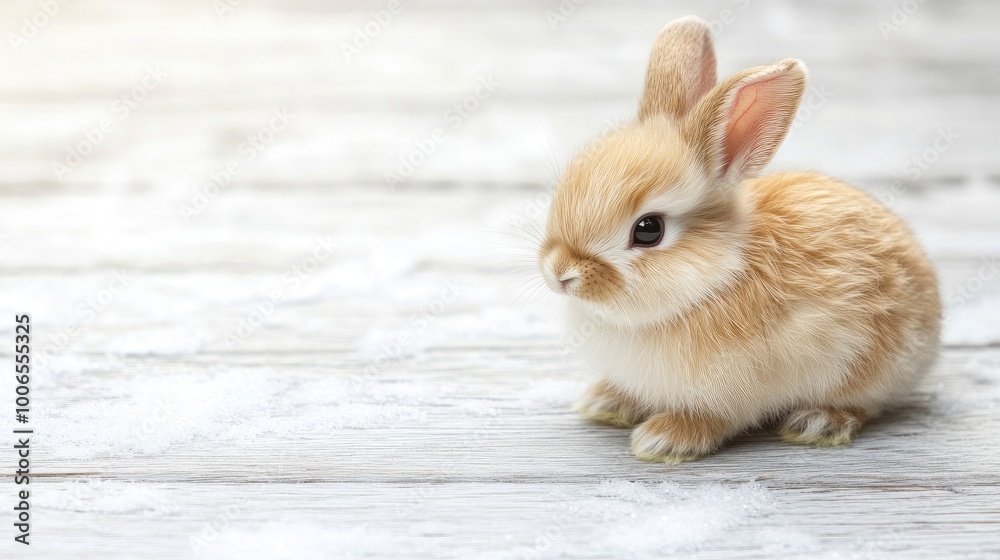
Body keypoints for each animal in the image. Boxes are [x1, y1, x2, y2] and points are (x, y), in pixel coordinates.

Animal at [538, 15, 941, 463]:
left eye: (648, 229)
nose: (560, 274)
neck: (717, 277)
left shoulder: (734, 392)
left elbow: (714, 419)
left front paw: (663, 439)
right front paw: (605, 400)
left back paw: (818, 423)